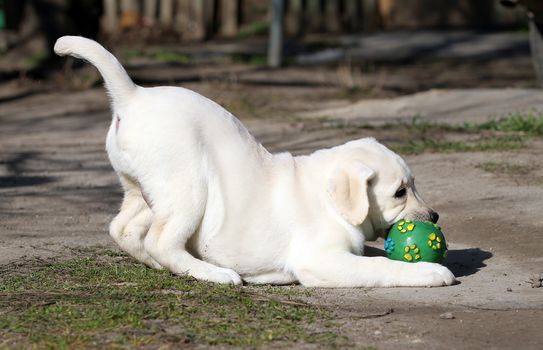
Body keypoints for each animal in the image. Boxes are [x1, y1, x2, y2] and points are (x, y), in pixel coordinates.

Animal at [55, 36, 456, 288]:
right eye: (400, 192)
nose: (435, 217)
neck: (329, 200)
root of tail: (133, 95)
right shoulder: (321, 259)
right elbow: (379, 265)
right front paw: (431, 272)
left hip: (144, 190)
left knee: (123, 228)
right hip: (187, 187)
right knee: (161, 240)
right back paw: (215, 274)